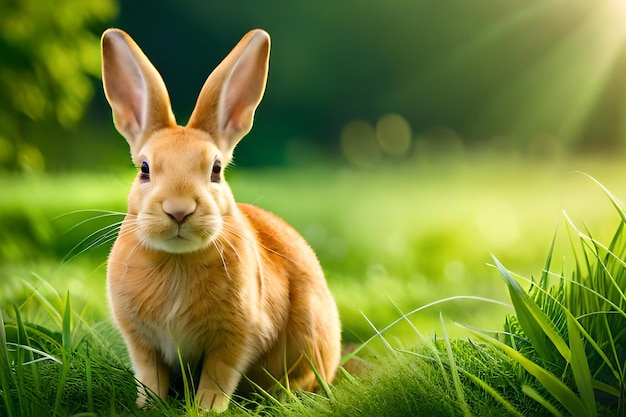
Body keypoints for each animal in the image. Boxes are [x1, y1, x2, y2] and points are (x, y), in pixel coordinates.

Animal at [101, 27, 342, 412]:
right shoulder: (140, 341)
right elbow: (150, 375)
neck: (177, 261)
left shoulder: (237, 336)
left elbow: (219, 374)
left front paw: (205, 408)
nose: (179, 209)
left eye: (215, 170)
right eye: (144, 169)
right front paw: (148, 406)